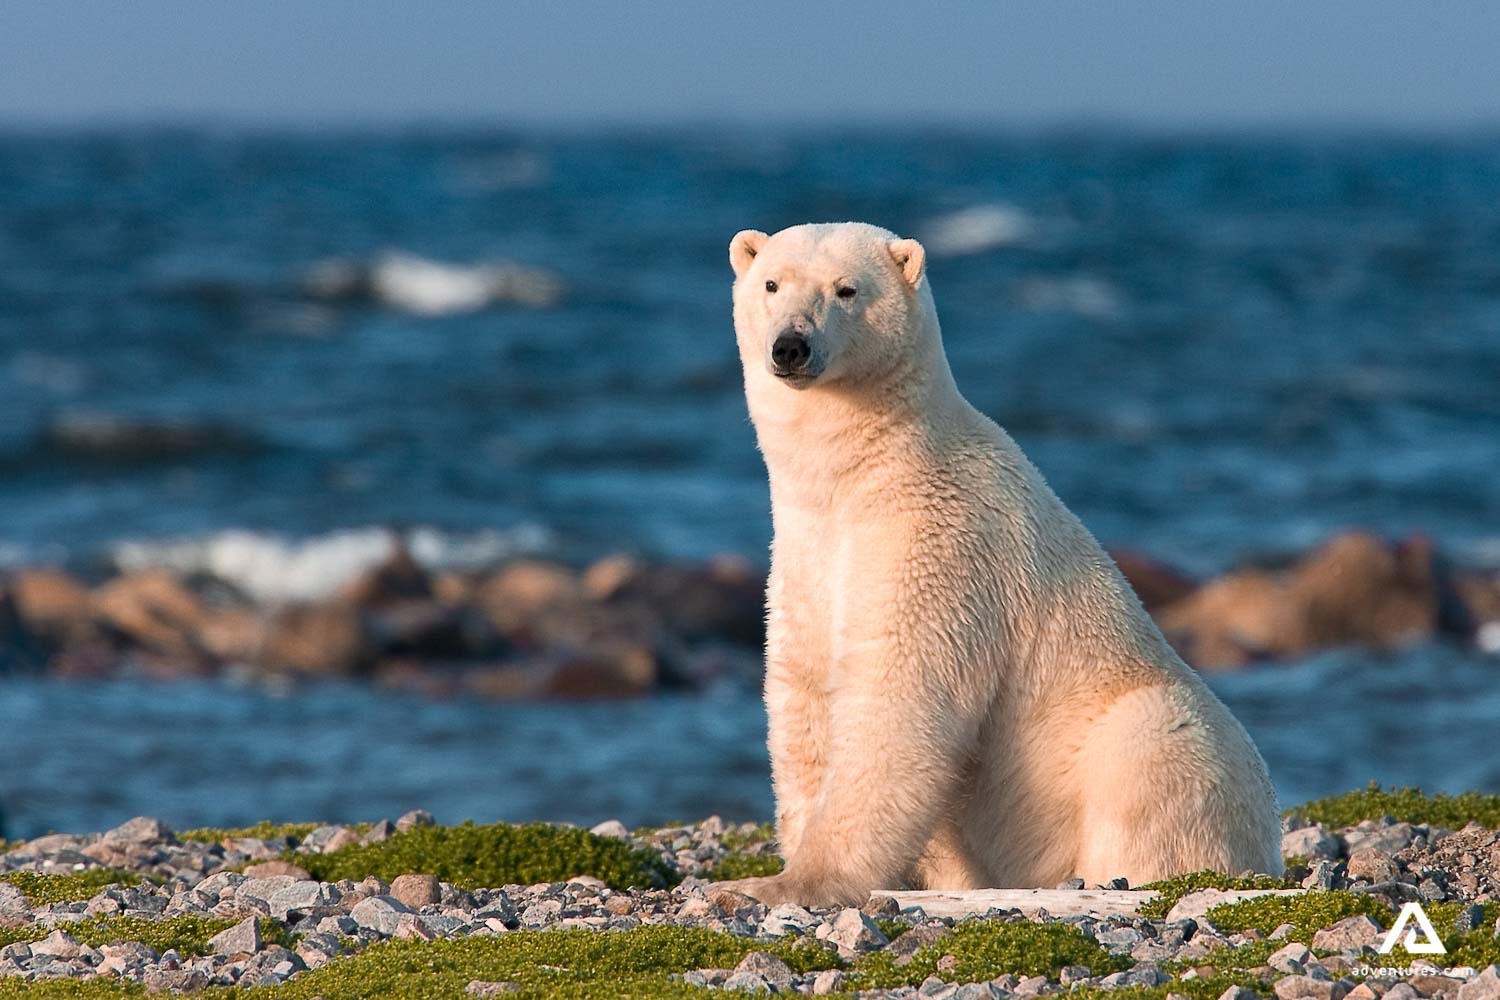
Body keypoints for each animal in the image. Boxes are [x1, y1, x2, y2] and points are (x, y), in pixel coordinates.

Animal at [714, 221, 1283, 908]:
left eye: (846, 289)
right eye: (772, 283)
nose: (790, 346)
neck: (867, 476)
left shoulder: (941, 551)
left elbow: (898, 700)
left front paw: (785, 884)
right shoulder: (806, 557)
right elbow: (806, 693)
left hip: (1155, 737)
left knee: (1150, 754)